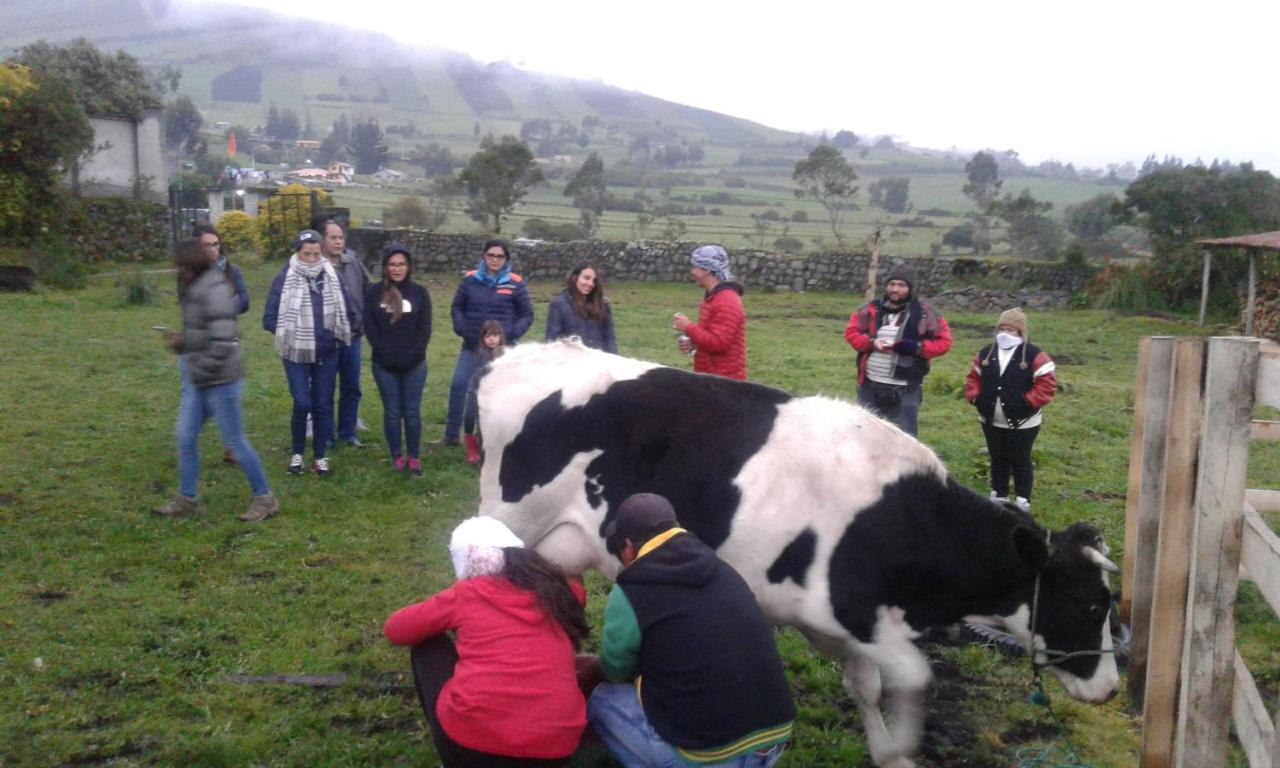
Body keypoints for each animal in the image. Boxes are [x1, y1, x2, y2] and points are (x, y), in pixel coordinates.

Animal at [476, 343, 1116, 768]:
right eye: (1090, 605)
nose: (1110, 690)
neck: (904, 517)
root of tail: (519, 355)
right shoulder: (858, 611)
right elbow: (915, 678)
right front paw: (904, 749)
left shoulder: (836, 623)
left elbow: (867, 688)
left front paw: (885, 751)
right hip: (509, 522)